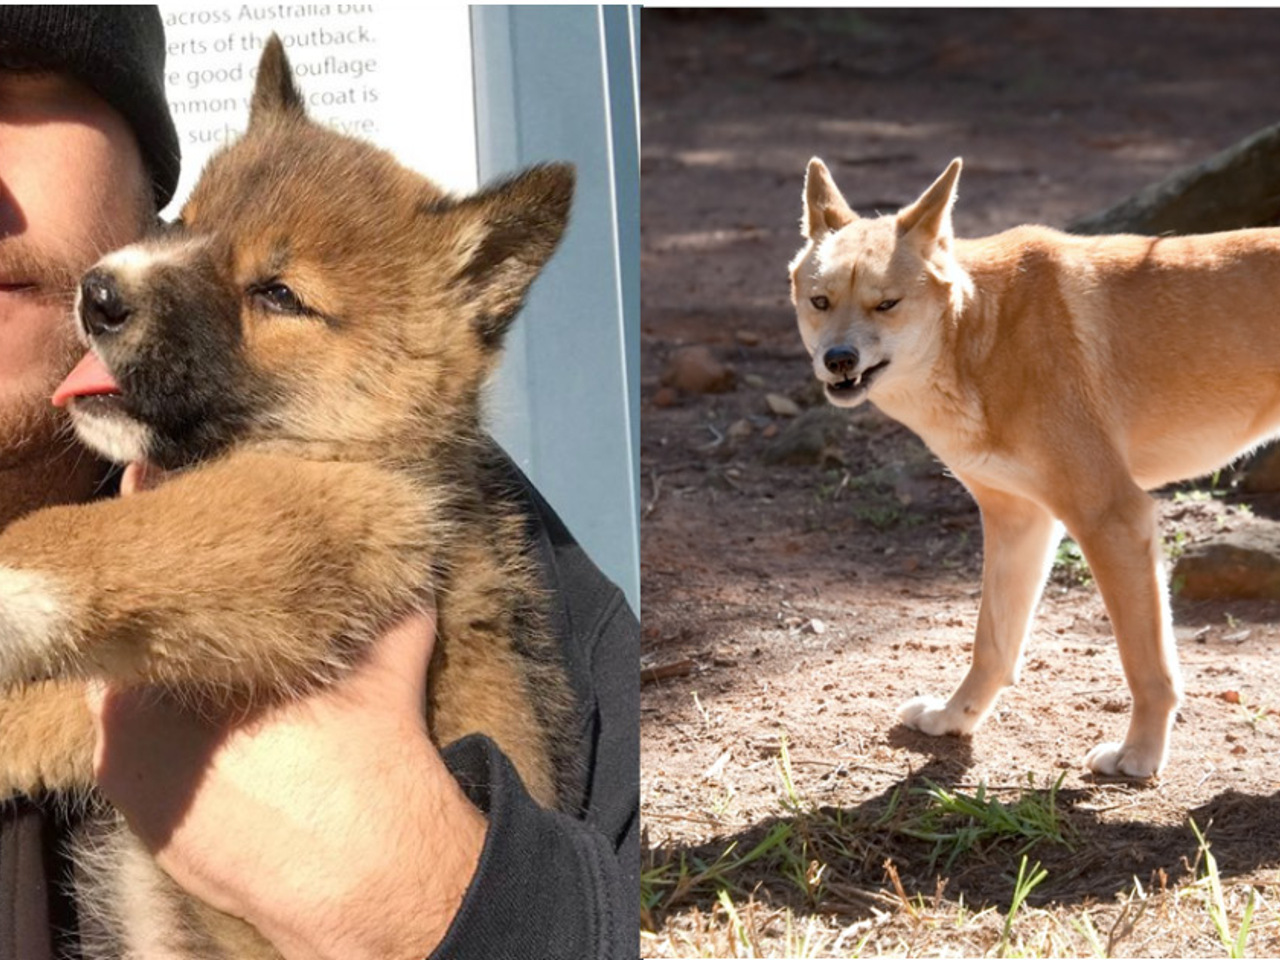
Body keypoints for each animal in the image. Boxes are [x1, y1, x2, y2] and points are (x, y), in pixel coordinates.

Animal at [783, 156, 1280, 783]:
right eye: (820, 302)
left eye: (886, 304)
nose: (839, 359)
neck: (982, 335)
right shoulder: (1021, 521)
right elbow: (991, 644)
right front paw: (954, 720)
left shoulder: (1114, 517)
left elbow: (1147, 666)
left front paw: (1139, 756)